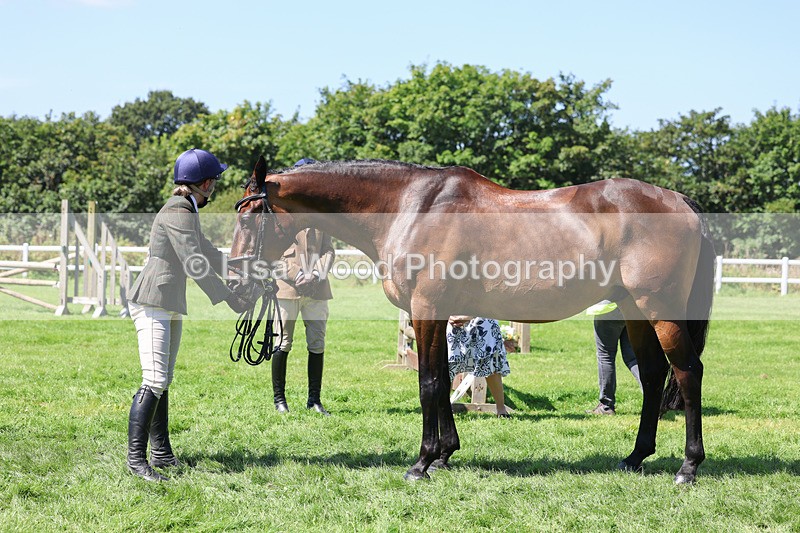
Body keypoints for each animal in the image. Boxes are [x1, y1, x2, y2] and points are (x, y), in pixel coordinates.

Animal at [229, 156, 714, 485]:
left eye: (249, 217)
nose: (234, 282)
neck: (410, 208)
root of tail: (680, 201)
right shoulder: (439, 314)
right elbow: (444, 378)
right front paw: (446, 453)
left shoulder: (426, 309)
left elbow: (428, 382)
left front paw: (422, 462)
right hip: (635, 311)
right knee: (653, 375)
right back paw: (635, 456)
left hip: (661, 309)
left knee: (687, 372)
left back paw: (688, 466)